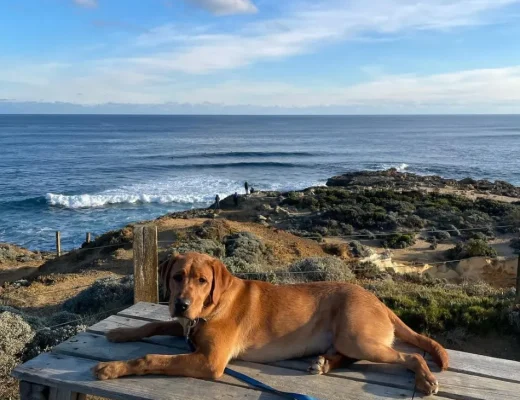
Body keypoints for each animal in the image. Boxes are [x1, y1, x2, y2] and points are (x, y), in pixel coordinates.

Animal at [92, 252, 446, 396]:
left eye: (202, 280)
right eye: (178, 276)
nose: (180, 304)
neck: (213, 306)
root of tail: (378, 300)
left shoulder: (209, 361)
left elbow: (152, 357)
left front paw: (112, 368)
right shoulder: (186, 326)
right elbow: (151, 326)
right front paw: (122, 331)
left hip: (356, 336)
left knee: (411, 355)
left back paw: (425, 379)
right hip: (349, 340)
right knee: (348, 356)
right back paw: (324, 364)